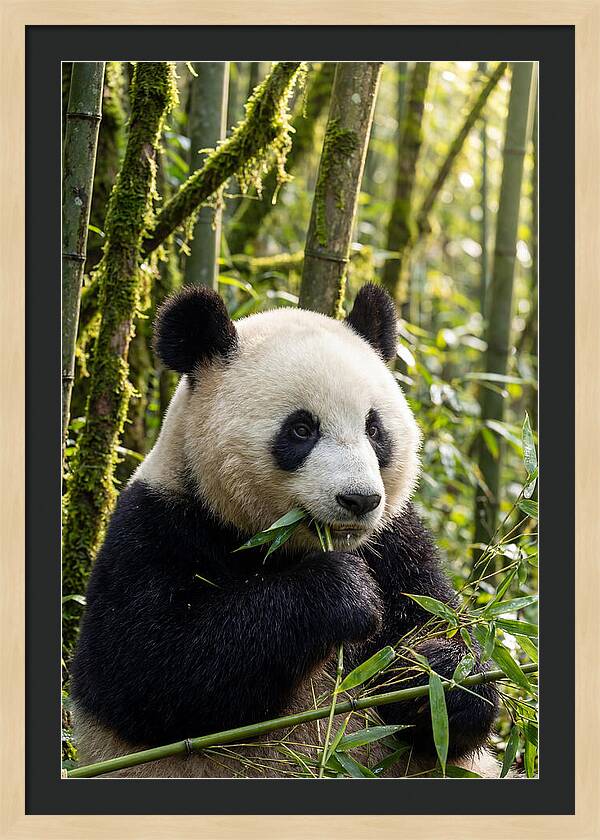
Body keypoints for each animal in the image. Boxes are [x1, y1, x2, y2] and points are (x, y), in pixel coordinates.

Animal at [70, 283, 499, 778]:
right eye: (301, 429)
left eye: (374, 429)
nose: (359, 500)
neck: (281, 543)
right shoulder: (157, 527)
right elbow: (150, 669)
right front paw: (344, 593)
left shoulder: (396, 542)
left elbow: (446, 637)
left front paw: (435, 674)